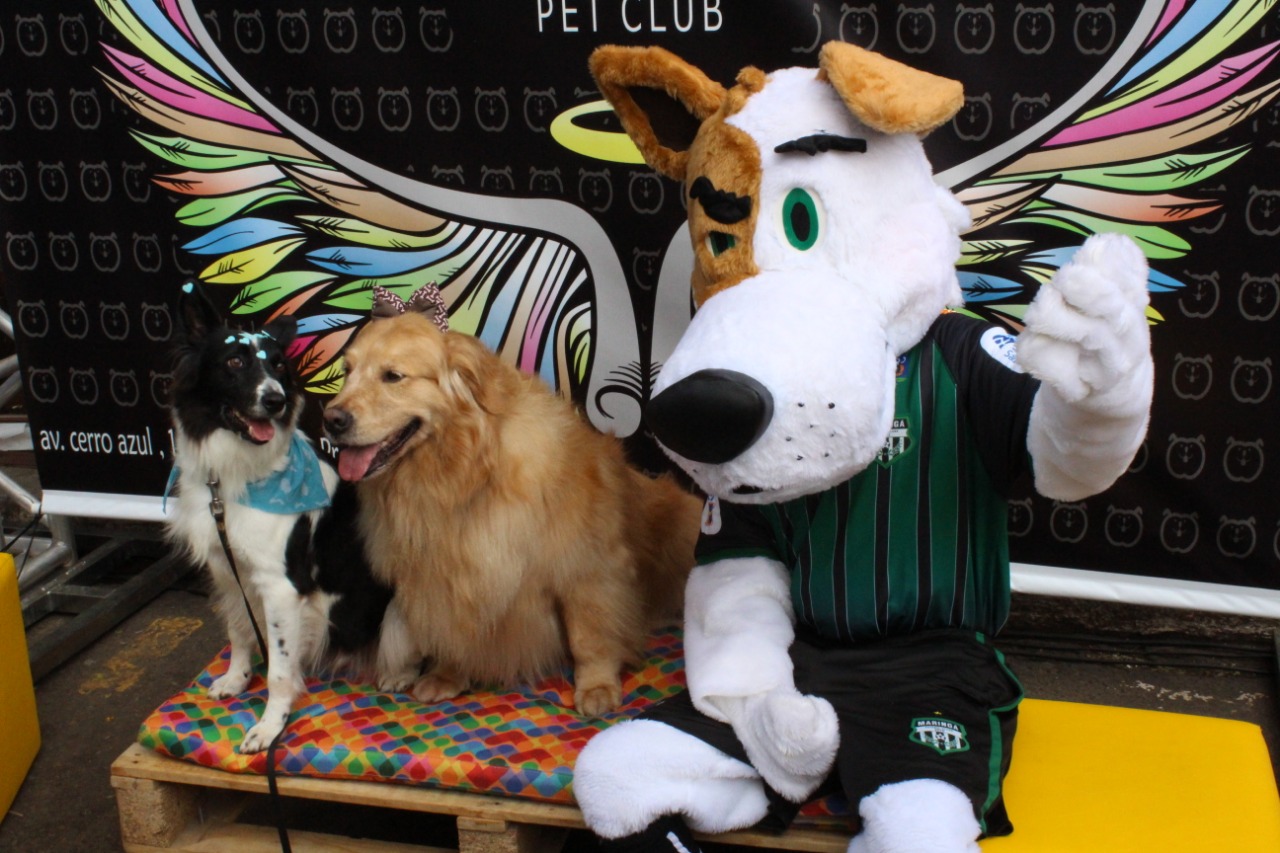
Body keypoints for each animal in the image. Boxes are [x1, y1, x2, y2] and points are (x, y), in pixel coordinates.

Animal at [165, 281, 392, 753]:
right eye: (234, 361)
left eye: (279, 365)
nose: (275, 400)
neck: (235, 479)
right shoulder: (226, 566)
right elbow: (238, 628)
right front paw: (235, 679)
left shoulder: (281, 586)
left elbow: (280, 670)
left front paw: (270, 726)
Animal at [323, 286, 701, 715]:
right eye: (347, 371)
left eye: (393, 376)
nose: (331, 420)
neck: (463, 475)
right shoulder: (447, 576)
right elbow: (454, 631)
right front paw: (448, 675)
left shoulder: (586, 565)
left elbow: (589, 635)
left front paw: (597, 686)